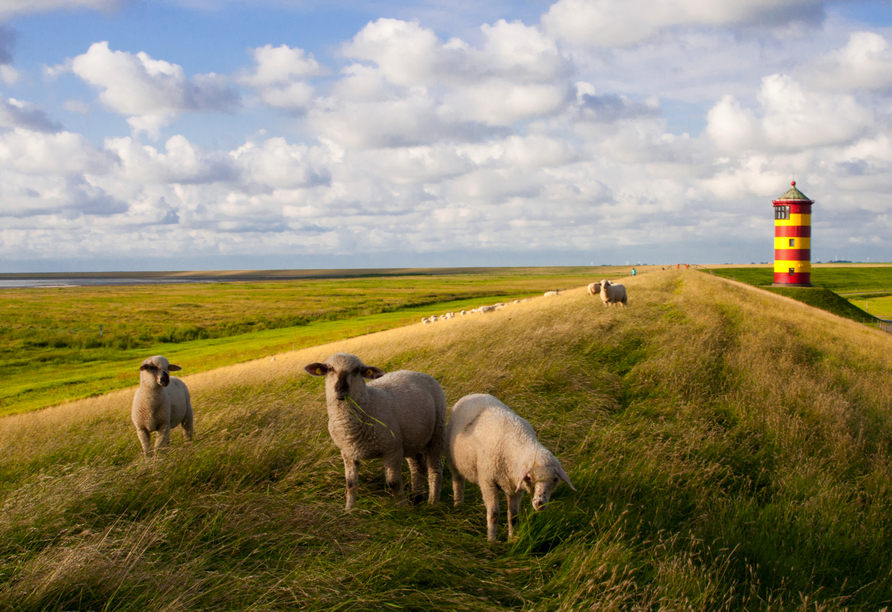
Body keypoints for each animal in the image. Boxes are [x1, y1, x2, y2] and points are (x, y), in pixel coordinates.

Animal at [304, 352, 446, 510]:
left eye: (357, 370)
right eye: (329, 369)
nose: (341, 390)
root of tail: (416, 372)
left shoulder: (392, 450)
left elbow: (393, 483)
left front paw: (402, 508)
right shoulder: (348, 453)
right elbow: (351, 484)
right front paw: (348, 510)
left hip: (437, 432)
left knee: (435, 468)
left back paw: (432, 503)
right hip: (411, 439)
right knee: (417, 466)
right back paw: (417, 498)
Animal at [446, 392, 580, 540]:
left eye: (555, 480)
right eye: (530, 477)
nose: (540, 504)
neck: (518, 442)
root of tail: (475, 393)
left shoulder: (515, 486)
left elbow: (514, 516)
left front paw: (512, 539)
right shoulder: (487, 481)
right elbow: (494, 514)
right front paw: (491, 540)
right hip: (453, 461)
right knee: (458, 482)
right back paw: (458, 505)